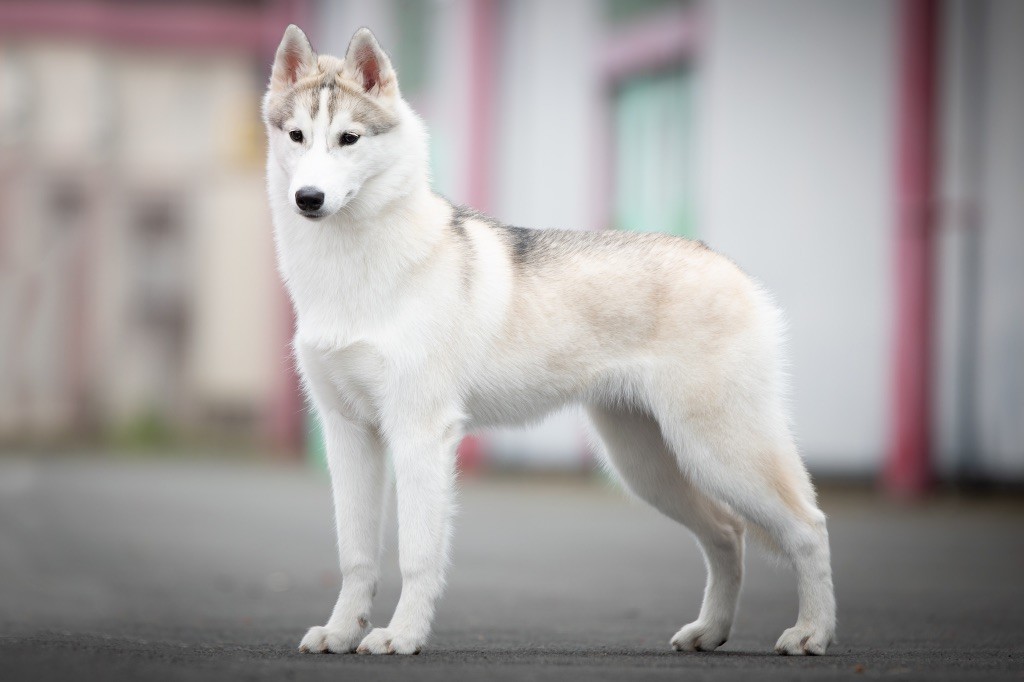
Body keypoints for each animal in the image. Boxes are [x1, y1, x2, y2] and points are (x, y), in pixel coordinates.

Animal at [260, 25, 835, 655]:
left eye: (348, 138)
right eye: (297, 136)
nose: (308, 198)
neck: (352, 273)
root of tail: (725, 264)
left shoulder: (419, 434)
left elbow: (416, 555)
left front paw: (403, 636)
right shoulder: (348, 435)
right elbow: (356, 555)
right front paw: (342, 632)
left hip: (719, 451)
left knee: (809, 527)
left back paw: (811, 632)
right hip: (648, 467)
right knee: (728, 533)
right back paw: (710, 631)